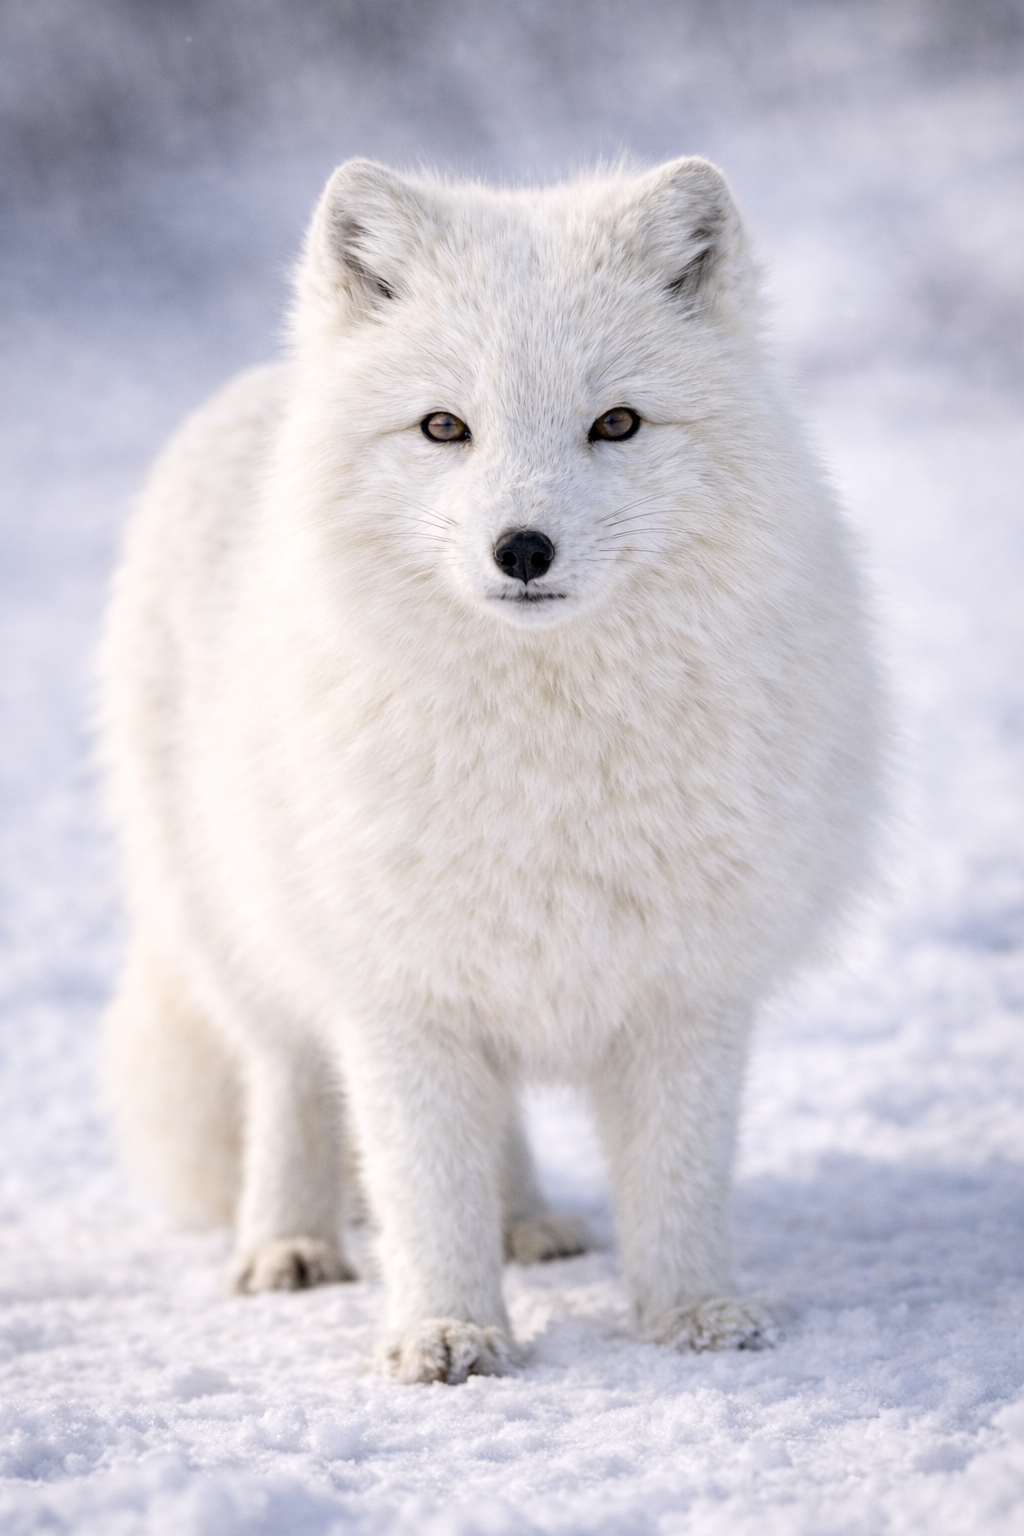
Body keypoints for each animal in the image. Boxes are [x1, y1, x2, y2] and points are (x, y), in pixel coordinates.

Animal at [102, 156, 881, 1383]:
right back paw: (287, 1245)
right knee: (287, 1081)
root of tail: (261, 380)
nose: (522, 550)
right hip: (239, 925)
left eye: (616, 423)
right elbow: (421, 1184)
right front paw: (446, 1330)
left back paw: (529, 1224)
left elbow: (677, 1181)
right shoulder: (396, 992)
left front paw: (694, 1315)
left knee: (499, 1125)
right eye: (443, 427)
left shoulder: (687, 987)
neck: (544, 759)